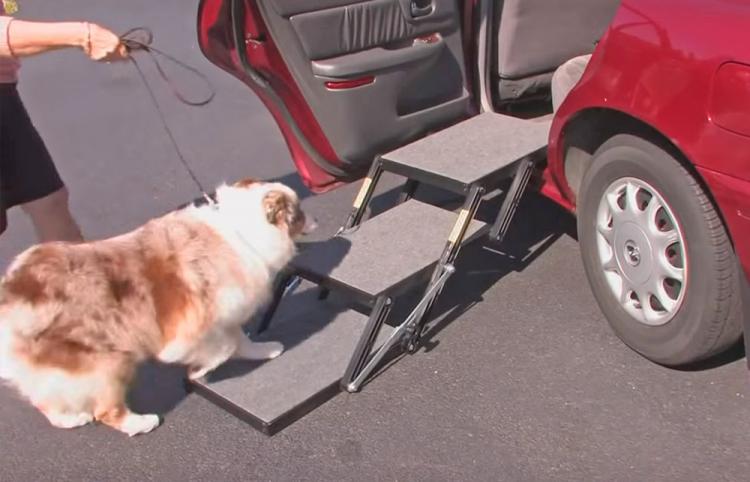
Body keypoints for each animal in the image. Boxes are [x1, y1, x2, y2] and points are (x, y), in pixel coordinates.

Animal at [0, 179, 314, 434]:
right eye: (299, 213)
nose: (316, 220)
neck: (240, 230)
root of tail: (12, 295)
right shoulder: (193, 324)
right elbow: (222, 347)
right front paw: (199, 370)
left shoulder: (225, 314)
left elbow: (239, 340)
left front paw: (264, 350)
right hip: (106, 360)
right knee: (105, 410)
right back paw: (141, 423)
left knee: (44, 398)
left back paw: (69, 419)